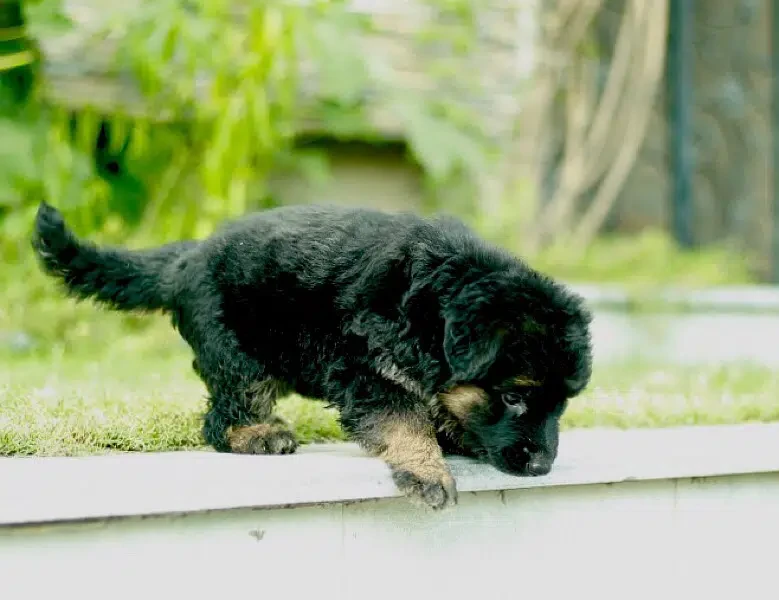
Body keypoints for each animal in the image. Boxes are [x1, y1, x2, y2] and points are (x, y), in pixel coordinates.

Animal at [29, 203, 592, 510]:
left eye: (563, 403)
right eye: (514, 398)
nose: (541, 467)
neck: (437, 295)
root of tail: (187, 256)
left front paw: (452, 434)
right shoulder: (361, 366)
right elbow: (402, 416)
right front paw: (427, 469)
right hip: (237, 353)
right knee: (223, 416)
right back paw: (259, 434)